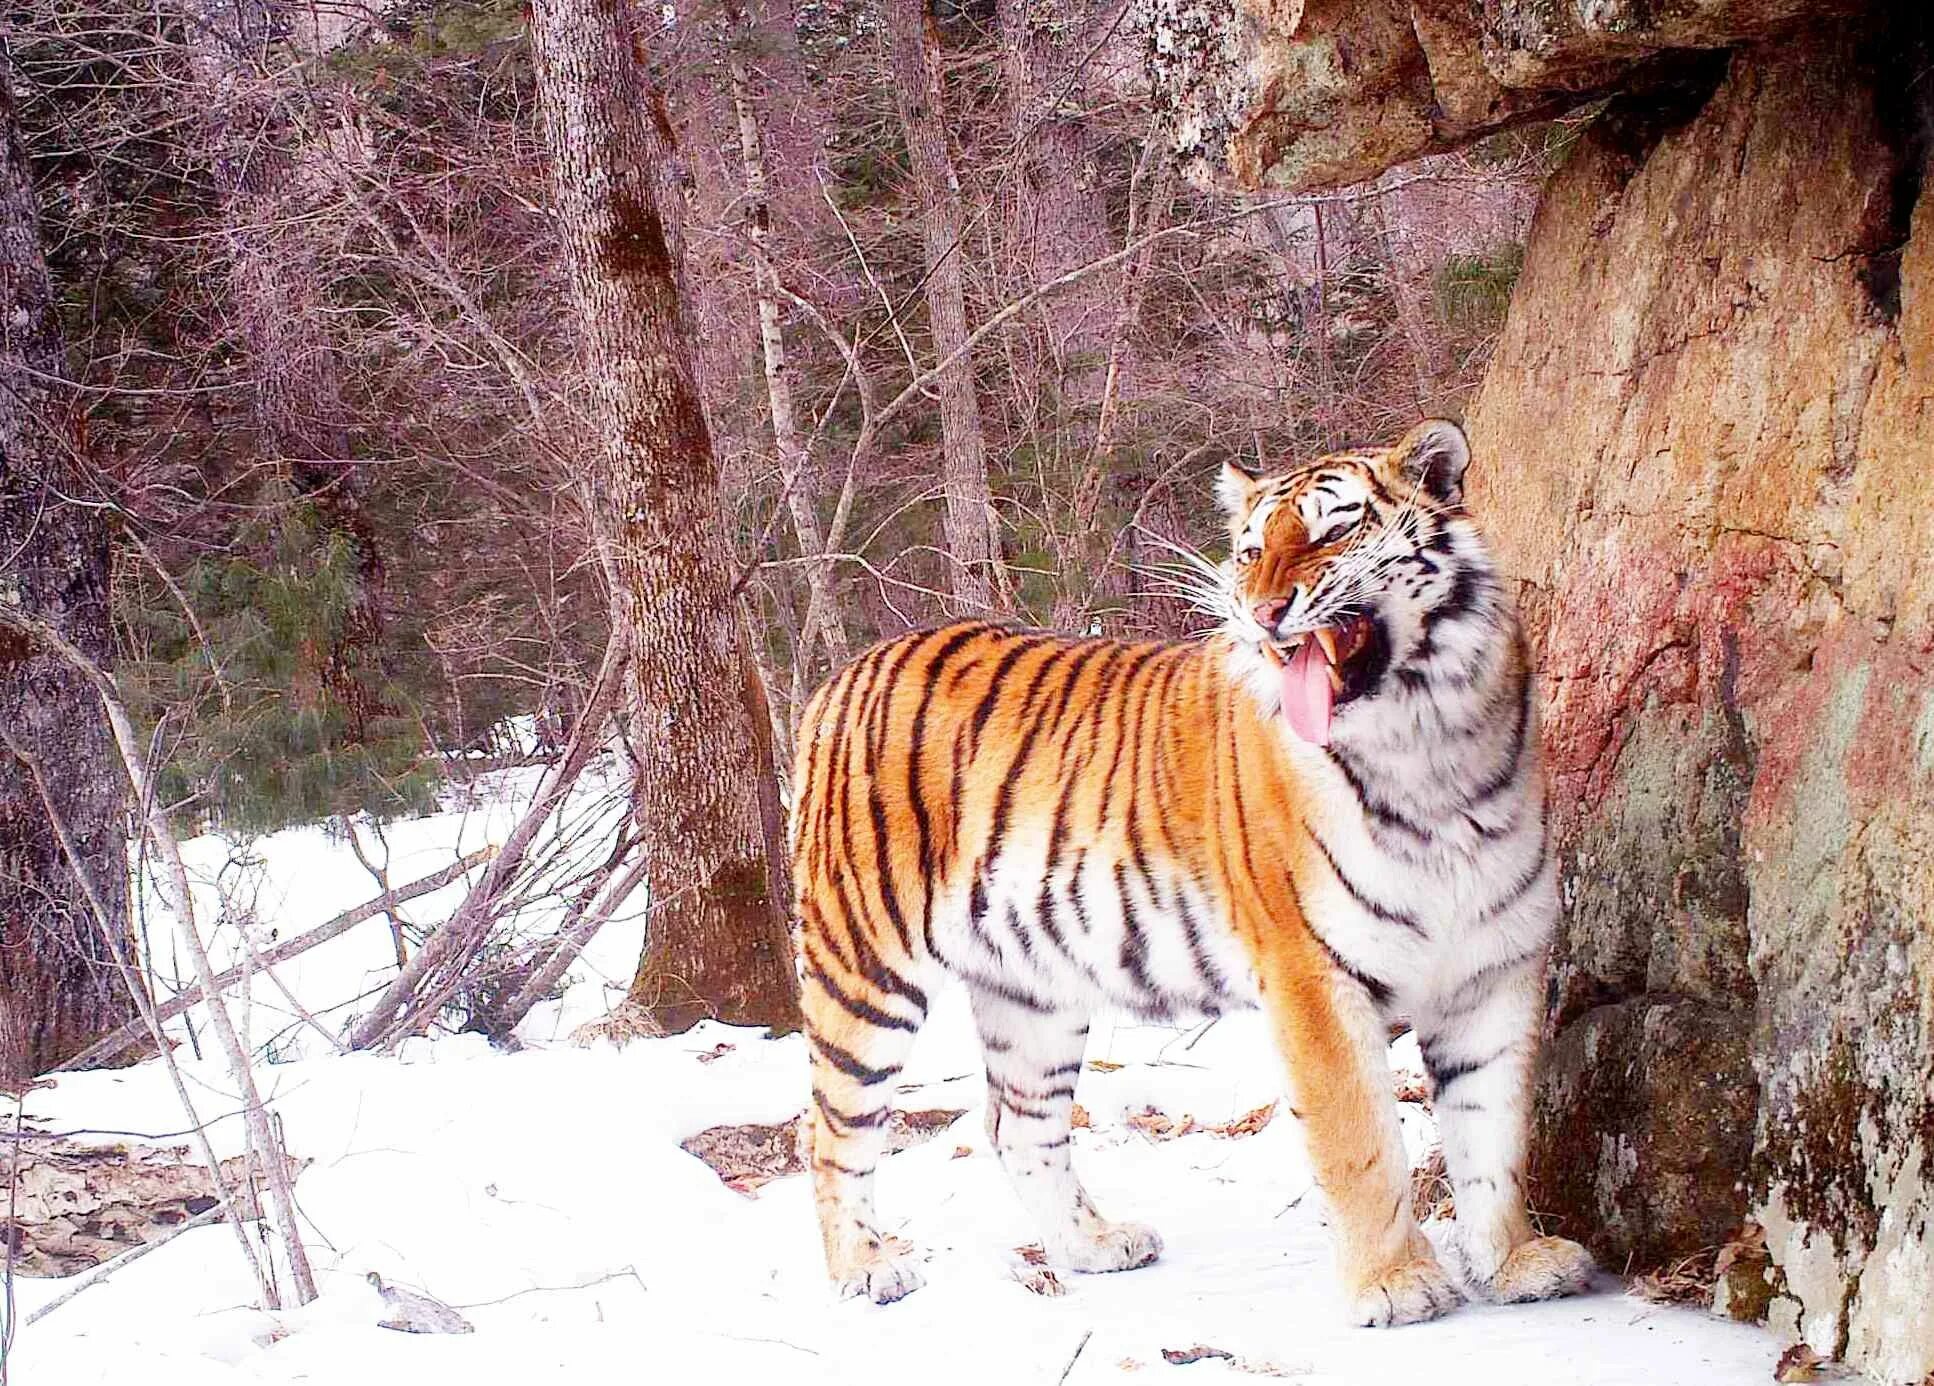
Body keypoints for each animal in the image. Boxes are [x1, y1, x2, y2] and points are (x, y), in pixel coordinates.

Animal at [781, 419, 1585, 1322]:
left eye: (1331, 532)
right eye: (1250, 550)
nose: (1264, 612)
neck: (1430, 746)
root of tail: (844, 675)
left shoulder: (1493, 968)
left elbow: (1495, 1134)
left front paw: (1514, 1263)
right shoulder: (1313, 977)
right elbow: (1364, 1140)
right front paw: (1398, 1282)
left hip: (1033, 990)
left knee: (1017, 1125)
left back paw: (1094, 1245)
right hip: (864, 964)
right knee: (832, 1124)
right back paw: (865, 1267)